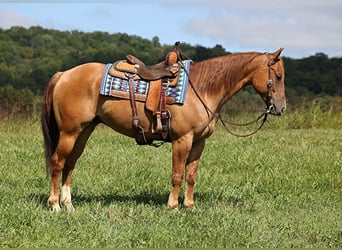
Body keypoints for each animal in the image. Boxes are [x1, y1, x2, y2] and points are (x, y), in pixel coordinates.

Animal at [40, 47, 286, 211]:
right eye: (278, 76)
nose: (280, 108)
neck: (202, 89)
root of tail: (64, 74)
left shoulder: (199, 142)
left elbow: (191, 175)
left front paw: (190, 205)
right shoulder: (182, 139)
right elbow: (177, 174)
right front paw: (173, 206)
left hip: (83, 132)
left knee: (70, 164)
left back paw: (68, 204)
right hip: (69, 133)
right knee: (57, 162)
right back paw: (55, 205)